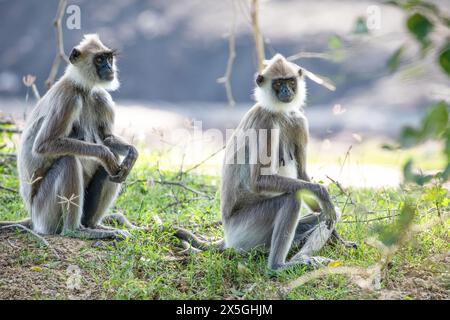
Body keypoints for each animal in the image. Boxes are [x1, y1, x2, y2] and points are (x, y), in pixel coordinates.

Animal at [0, 34, 139, 240]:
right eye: (99, 60)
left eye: (109, 58)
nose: (109, 68)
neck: (83, 89)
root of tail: (33, 217)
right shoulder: (68, 99)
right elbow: (44, 145)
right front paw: (105, 154)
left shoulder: (101, 97)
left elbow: (107, 138)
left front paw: (132, 152)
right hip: (44, 211)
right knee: (69, 160)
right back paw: (75, 230)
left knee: (112, 169)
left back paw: (94, 225)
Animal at [220, 54, 356, 270]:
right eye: (278, 83)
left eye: (291, 81)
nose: (286, 91)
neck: (278, 113)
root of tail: (227, 238)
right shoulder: (265, 123)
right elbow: (258, 181)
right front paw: (322, 192)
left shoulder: (298, 121)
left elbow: (302, 175)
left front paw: (337, 237)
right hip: (245, 230)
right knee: (292, 198)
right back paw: (278, 266)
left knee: (325, 213)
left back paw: (303, 256)